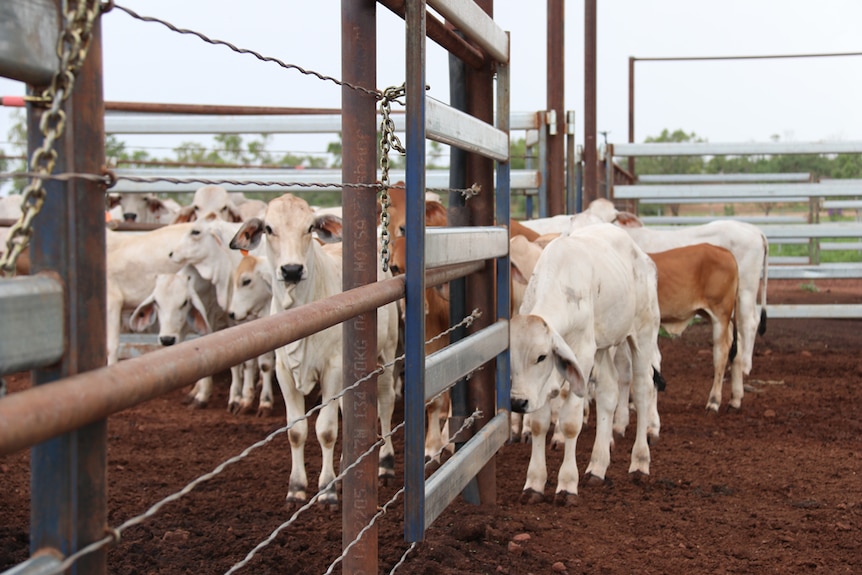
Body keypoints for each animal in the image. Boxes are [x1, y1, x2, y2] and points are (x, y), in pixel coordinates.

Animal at [231, 195, 404, 508]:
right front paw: (296, 487)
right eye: (269, 229)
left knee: (384, 405)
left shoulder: (332, 369)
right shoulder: (284, 373)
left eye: (309, 227)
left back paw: (385, 464)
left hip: (386, 355)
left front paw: (327, 490)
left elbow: (325, 429)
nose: (291, 270)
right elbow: (296, 431)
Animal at [510, 223, 664, 506]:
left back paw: (639, 462)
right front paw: (534, 483)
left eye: (541, 356)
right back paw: (597, 467)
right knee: (608, 392)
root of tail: (642, 256)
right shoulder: (542, 386)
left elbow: (570, 422)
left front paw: (567, 485)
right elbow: (539, 423)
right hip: (602, 347)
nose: (516, 402)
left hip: (643, 333)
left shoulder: (581, 354)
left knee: (642, 389)